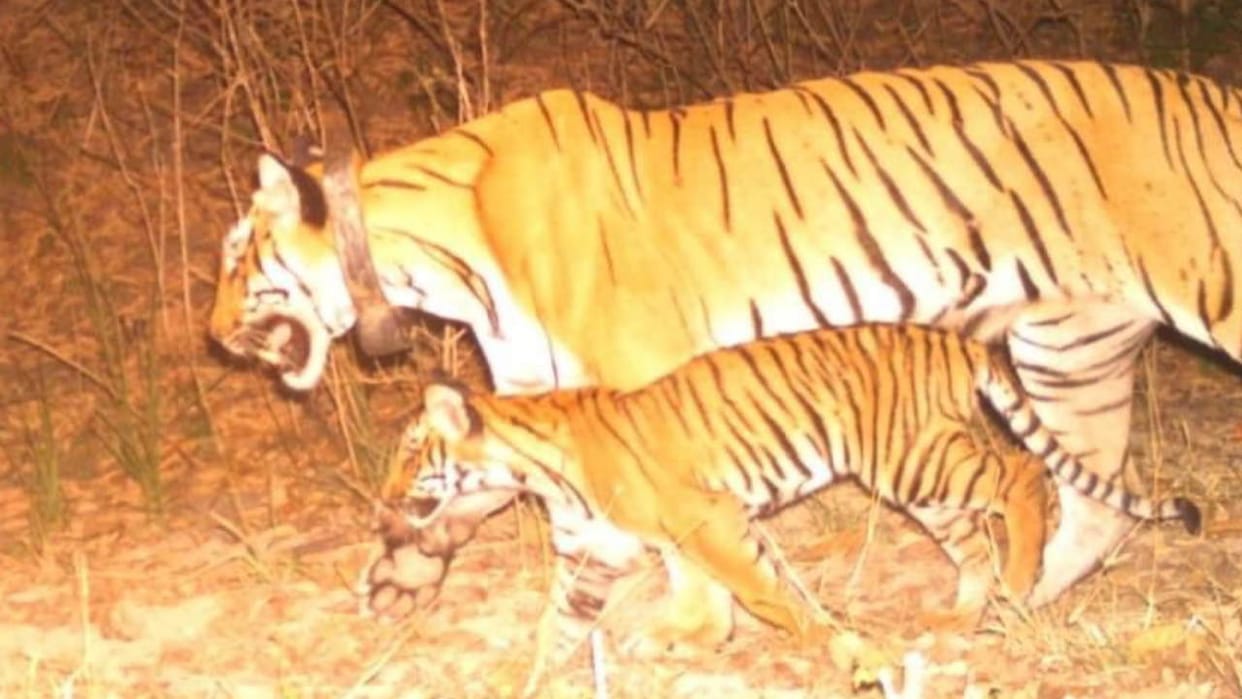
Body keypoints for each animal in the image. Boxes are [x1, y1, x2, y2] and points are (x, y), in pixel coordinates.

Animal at [210, 60, 1241, 609]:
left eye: (233, 254)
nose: (215, 337)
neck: (436, 261)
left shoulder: (643, 391)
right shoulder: (527, 396)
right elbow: (472, 486)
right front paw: (403, 570)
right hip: (1072, 351)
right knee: (1096, 501)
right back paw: (1018, 604)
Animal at [366, 324, 1201, 695]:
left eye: (411, 449)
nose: (383, 498)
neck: (535, 464)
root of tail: (952, 337)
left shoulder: (708, 520)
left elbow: (763, 594)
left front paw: (837, 654)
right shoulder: (598, 553)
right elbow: (557, 627)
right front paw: (522, 678)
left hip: (913, 460)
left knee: (1023, 473)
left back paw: (1021, 585)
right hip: (923, 481)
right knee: (972, 538)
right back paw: (965, 611)